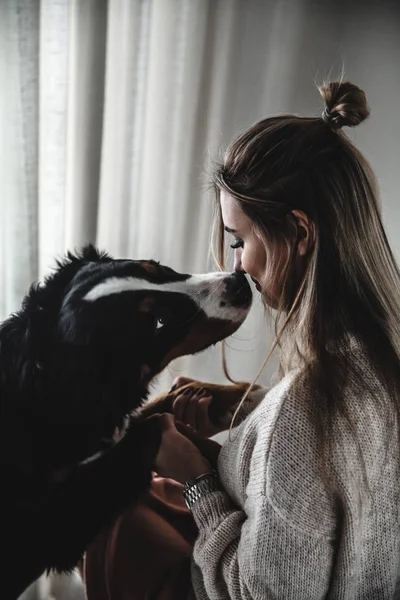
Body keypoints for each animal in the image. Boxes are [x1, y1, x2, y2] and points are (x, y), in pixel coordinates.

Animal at [0, 245, 252, 600]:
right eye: (159, 321)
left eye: (158, 269)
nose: (239, 283)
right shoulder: (51, 531)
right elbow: (156, 425)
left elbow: (163, 404)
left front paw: (239, 398)